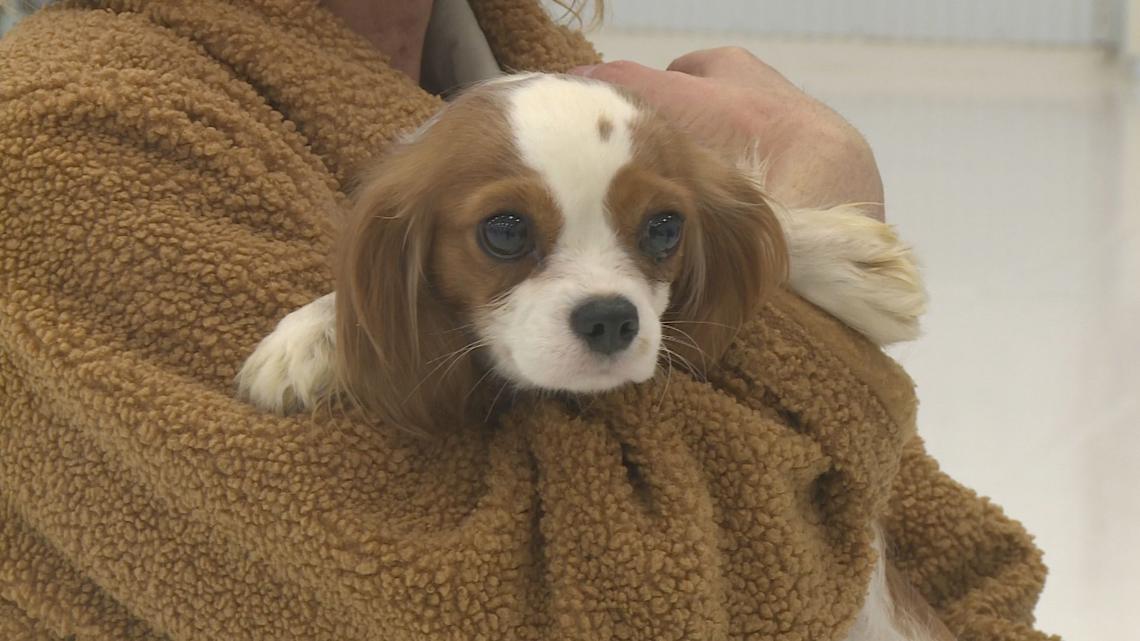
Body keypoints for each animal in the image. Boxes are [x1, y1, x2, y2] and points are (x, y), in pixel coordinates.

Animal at [233, 75, 943, 638]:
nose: (610, 318)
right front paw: (312, 334)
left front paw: (844, 259)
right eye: (505, 230)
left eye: (664, 227)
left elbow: (760, 213)